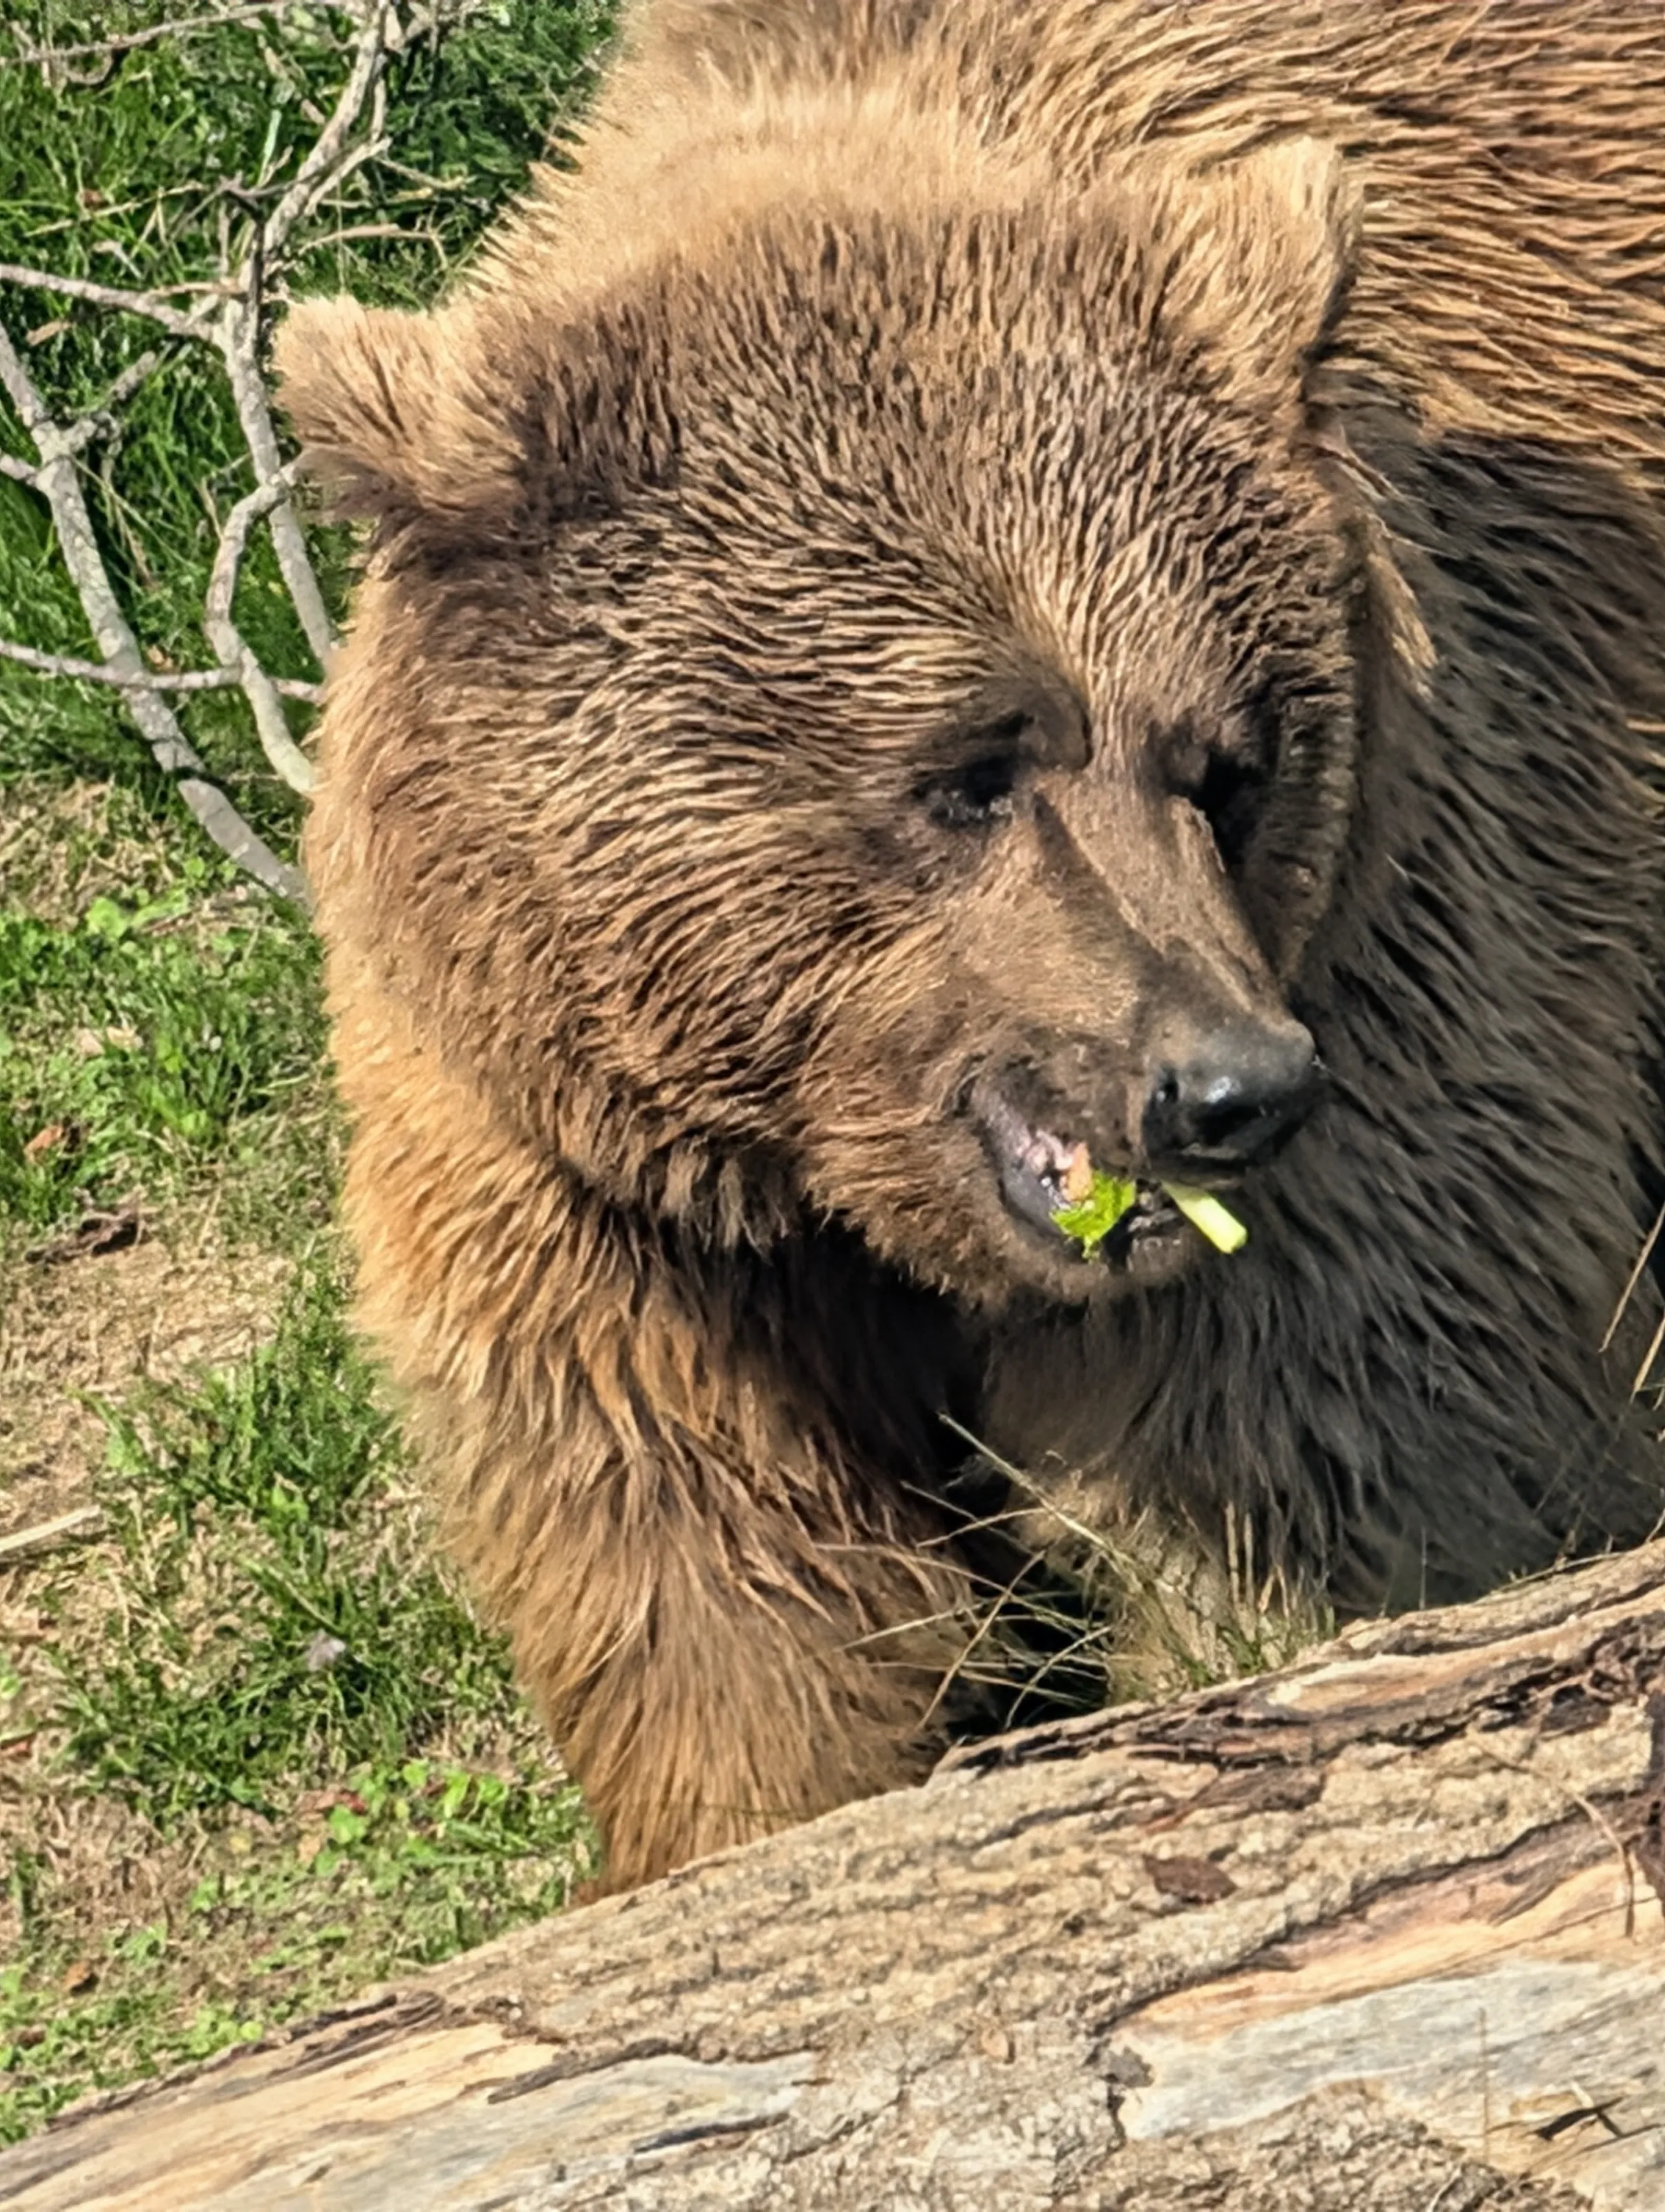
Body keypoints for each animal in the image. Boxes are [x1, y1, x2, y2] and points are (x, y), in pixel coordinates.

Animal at [277, 0, 1665, 1892]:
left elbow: (1336, 1440)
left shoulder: (1407, 933)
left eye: (1224, 762)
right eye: (966, 768)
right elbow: (712, 1575)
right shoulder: (578, 1178)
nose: (1225, 1088)